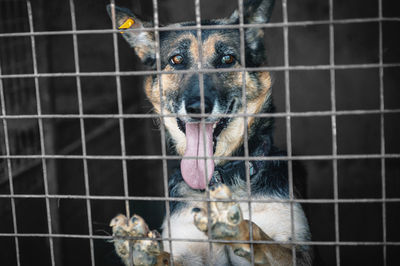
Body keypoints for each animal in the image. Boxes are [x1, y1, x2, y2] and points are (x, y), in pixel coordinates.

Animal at [107, 1, 312, 264]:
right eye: (177, 59)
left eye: (227, 58)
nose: (198, 108)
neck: (220, 179)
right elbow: (165, 256)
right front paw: (140, 248)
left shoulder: (299, 252)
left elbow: (263, 238)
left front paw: (236, 225)